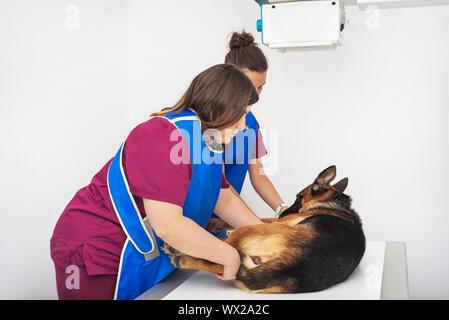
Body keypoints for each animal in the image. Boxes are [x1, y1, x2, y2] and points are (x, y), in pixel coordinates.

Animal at [161, 166, 364, 294]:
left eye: (298, 196)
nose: (283, 214)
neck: (335, 203)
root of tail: (293, 267)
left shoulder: (272, 222)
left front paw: (212, 223)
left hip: (251, 230)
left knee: (224, 255)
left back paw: (179, 253)